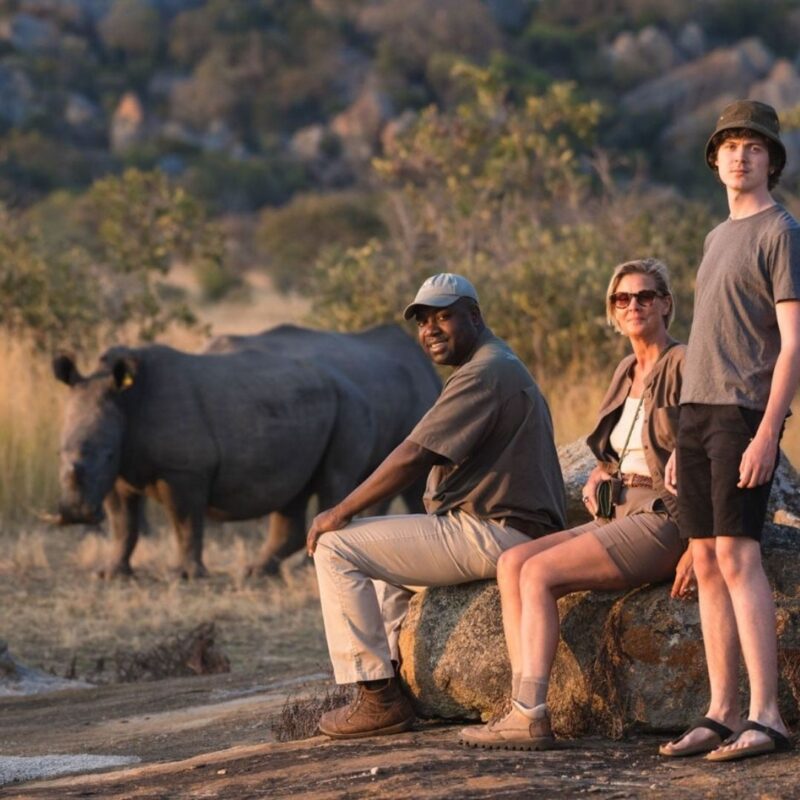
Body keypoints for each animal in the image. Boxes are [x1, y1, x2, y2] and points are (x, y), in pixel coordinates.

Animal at [52, 325, 441, 578]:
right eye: (59, 452)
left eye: (105, 453)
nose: (74, 515)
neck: (127, 400)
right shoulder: (121, 469)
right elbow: (123, 524)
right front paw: (111, 574)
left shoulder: (184, 471)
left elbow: (185, 522)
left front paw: (186, 576)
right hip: (318, 403)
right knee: (294, 493)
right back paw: (257, 572)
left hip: (354, 407)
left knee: (337, 481)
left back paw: (301, 569)